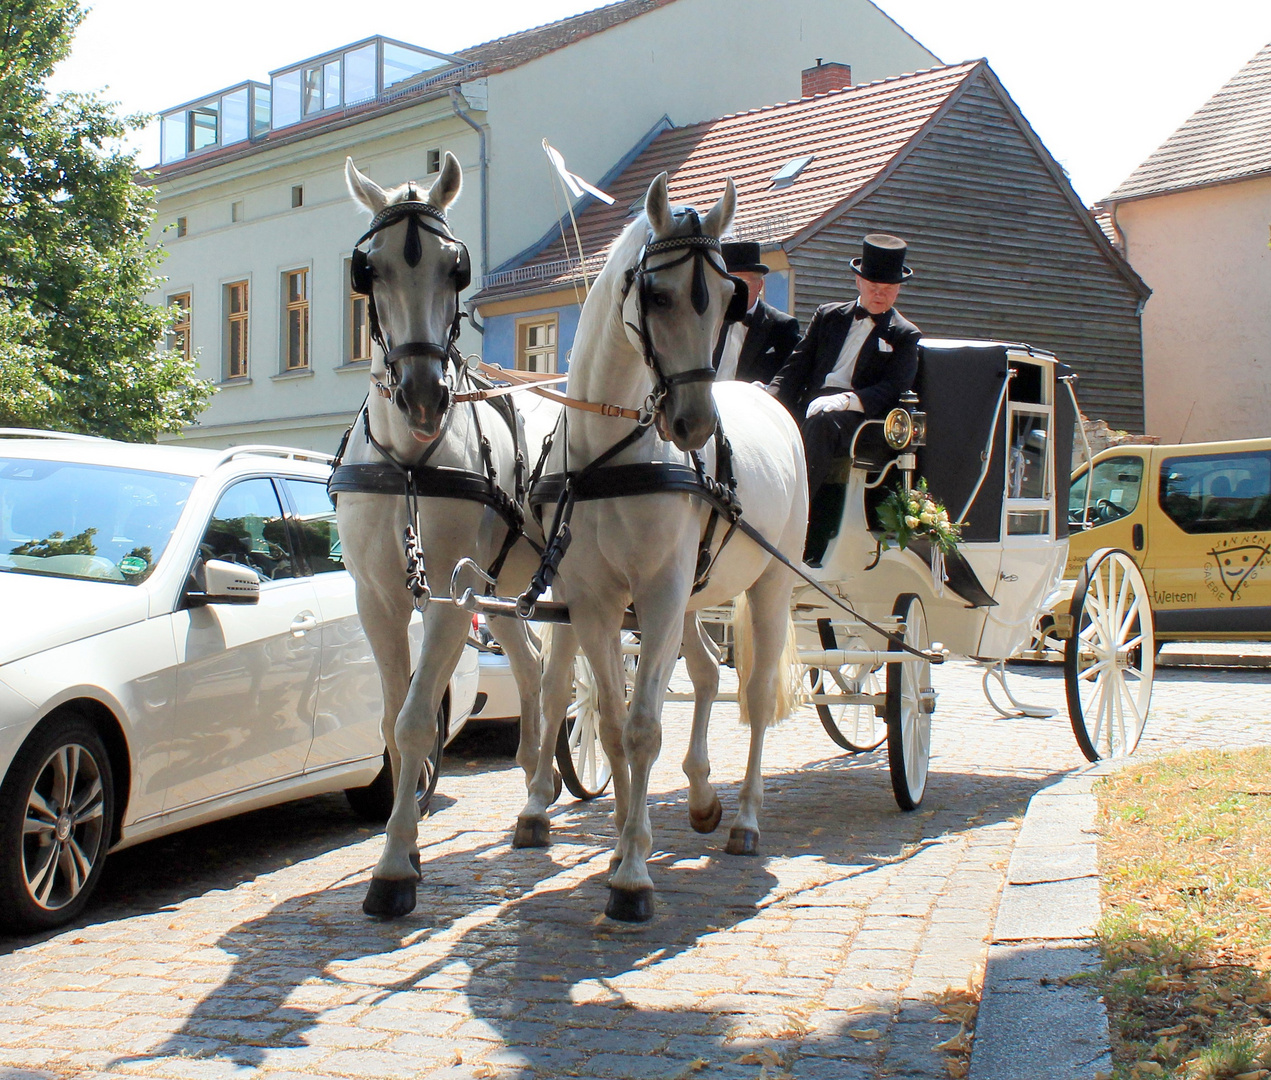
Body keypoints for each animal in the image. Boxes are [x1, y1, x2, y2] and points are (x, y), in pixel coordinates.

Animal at [338, 153, 556, 919]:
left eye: (456, 268)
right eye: (367, 270)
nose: (425, 397)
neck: (408, 462)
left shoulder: (447, 602)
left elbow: (412, 721)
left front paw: (393, 871)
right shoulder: (377, 599)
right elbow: (388, 724)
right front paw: (402, 843)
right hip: (509, 586)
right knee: (535, 662)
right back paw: (535, 801)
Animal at [513, 174, 803, 919]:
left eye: (729, 298)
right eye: (658, 295)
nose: (694, 424)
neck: (608, 454)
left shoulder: (659, 592)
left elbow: (644, 726)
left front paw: (633, 876)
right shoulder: (595, 603)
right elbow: (613, 725)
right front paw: (622, 842)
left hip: (767, 587)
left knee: (755, 695)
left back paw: (745, 819)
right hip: (690, 598)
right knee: (703, 674)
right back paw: (701, 798)